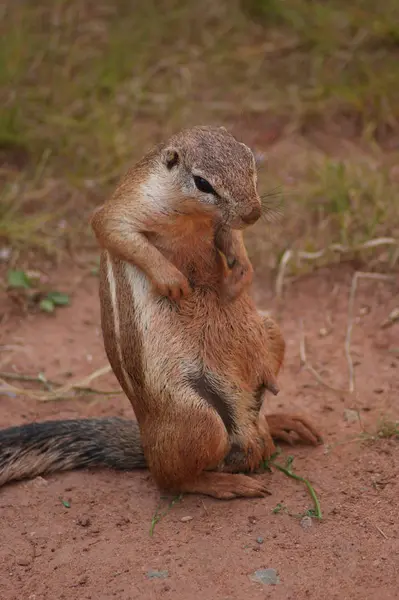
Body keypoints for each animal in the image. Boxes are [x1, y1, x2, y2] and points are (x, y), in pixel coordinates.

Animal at [0, 125, 322, 496]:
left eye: (251, 161)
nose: (253, 213)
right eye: (202, 183)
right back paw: (229, 483)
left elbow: (231, 237)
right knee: (172, 478)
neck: (194, 217)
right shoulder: (127, 206)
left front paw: (240, 273)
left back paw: (281, 424)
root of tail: (145, 439)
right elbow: (114, 229)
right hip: (197, 418)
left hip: (271, 331)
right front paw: (173, 281)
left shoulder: (222, 224)